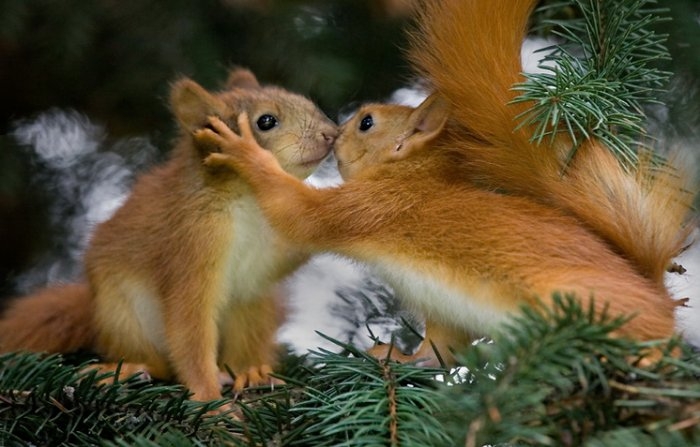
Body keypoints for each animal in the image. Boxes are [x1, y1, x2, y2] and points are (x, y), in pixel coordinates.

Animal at [0, 69, 336, 402]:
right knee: (159, 363)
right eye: (266, 121)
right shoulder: (191, 243)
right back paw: (128, 370)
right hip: (122, 314)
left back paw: (251, 371)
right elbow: (189, 326)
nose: (331, 134)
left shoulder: (272, 248)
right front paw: (209, 399)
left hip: (254, 305)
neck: (250, 200)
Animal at [191, 0, 696, 368]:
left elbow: (299, 214)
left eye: (367, 123)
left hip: (584, 303)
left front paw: (245, 152)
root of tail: (656, 296)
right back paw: (397, 357)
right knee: (439, 353)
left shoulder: (369, 206)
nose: (334, 132)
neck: (412, 178)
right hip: (447, 312)